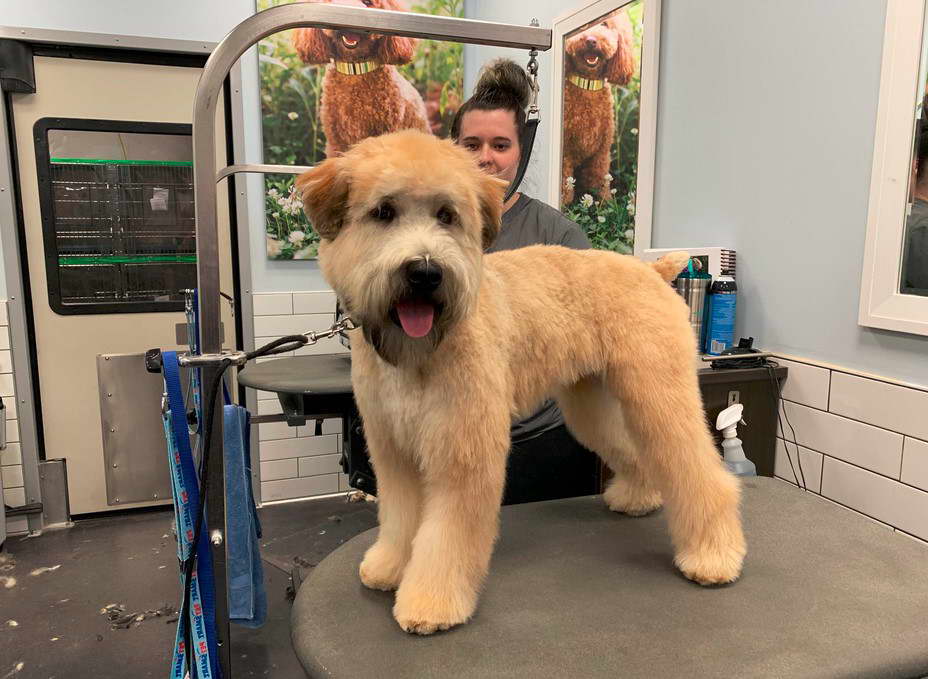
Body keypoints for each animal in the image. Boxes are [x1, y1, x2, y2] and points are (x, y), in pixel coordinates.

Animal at [298, 129, 748, 636]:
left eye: (447, 215)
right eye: (383, 212)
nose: (425, 272)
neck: (421, 352)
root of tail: (650, 269)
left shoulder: (463, 450)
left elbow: (446, 537)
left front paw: (432, 602)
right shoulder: (393, 449)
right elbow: (401, 520)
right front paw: (391, 566)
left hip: (658, 396)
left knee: (703, 475)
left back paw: (713, 556)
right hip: (593, 407)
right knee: (634, 455)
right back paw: (638, 498)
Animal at [560, 9, 640, 206]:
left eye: (605, 24)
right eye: (582, 28)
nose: (590, 40)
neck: (587, 85)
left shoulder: (601, 152)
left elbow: (599, 179)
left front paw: (606, 204)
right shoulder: (566, 152)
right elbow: (565, 185)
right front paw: (565, 206)